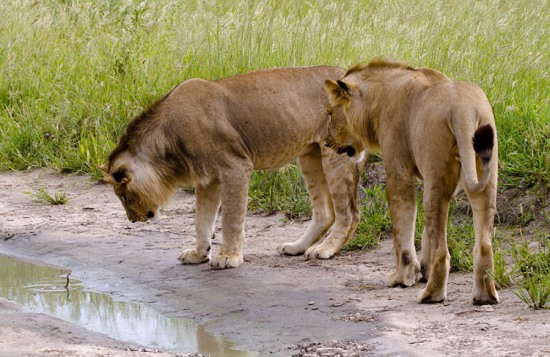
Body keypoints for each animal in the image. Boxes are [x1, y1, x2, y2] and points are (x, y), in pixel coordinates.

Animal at [101, 65, 366, 268]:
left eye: (122, 195)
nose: (132, 221)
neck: (167, 137)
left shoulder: (236, 167)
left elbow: (231, 217)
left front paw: (228, 257)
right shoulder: (208, 179)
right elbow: (202, 219)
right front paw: (199, 254)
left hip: (336, 153)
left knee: (349, 214)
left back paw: (325, 249)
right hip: (310, 155)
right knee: (325, 213)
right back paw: (296, 247)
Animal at [326, 59, 502, 304]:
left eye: (330, 113)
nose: (326, 142)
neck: (377, 99)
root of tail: (462, 110)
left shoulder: (398, 174)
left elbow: (403, 230)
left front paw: (402, 277)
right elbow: (426, 234)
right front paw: (423, 270)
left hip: (435, 174)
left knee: (442, 251)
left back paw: (431, 294)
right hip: (484, 173)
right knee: (483, 244)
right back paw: (484, 296)